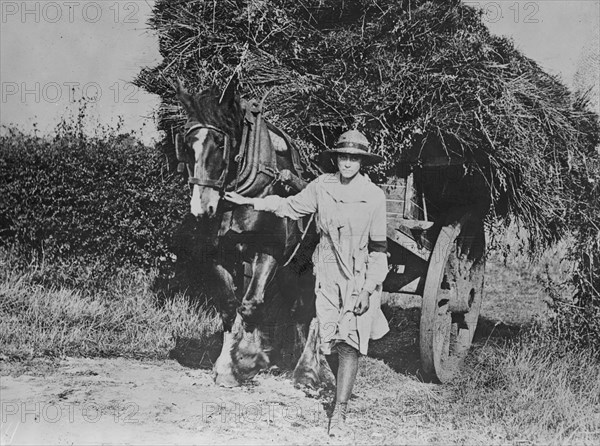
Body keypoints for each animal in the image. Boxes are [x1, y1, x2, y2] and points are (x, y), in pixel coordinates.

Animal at [175, 76, 324, 386]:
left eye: (220, 142)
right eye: (186, 144)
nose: (200, 210)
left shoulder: (269, 254)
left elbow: (251, 304)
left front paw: (243, 361)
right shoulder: (218, 255)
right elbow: (230, 305)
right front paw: (231, 361)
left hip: (301, 262)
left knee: (302, 306)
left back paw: (303, 365)